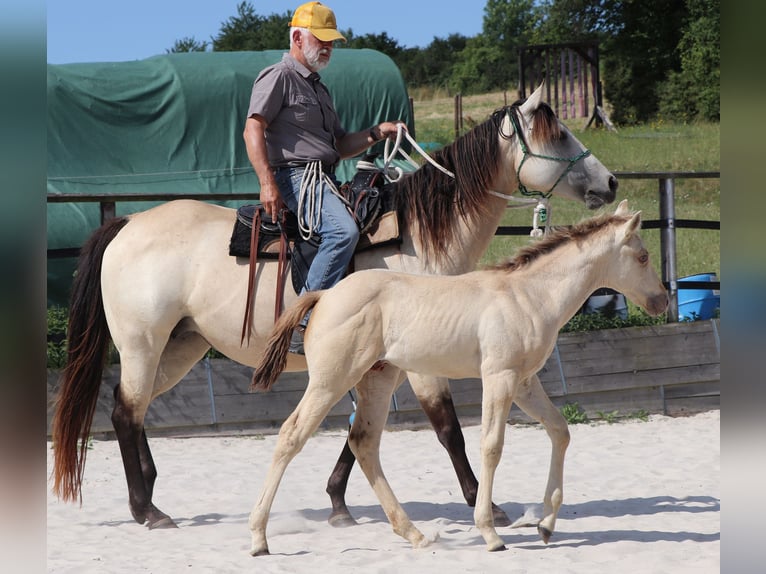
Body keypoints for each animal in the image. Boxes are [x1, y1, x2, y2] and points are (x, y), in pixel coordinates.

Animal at [52, 83, 616, 532]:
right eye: (559, 135)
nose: (609, 182)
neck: (416, 237)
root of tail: (128, 222)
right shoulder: (422, 365)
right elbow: (448, 429)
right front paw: (486, 504)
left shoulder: (378, 362)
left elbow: (357, 430)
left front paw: (338, 503)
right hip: (142, 343)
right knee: (126, 411)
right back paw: (146, 509)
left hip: (180, 346)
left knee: (132, 409)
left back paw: (150, 492)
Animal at [252, 200, 672, 556]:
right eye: (643, 256)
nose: (663, 300)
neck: (528, 295)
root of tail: (324, 296)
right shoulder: (499, 377)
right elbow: (491, 446)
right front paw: (490, 533)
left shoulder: (524, 382)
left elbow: (560, 431)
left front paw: (546, 525)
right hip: (332, 380)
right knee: (292, 436)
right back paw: (259, 538)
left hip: (378, 379)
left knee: (364, 443)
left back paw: (414, 534)